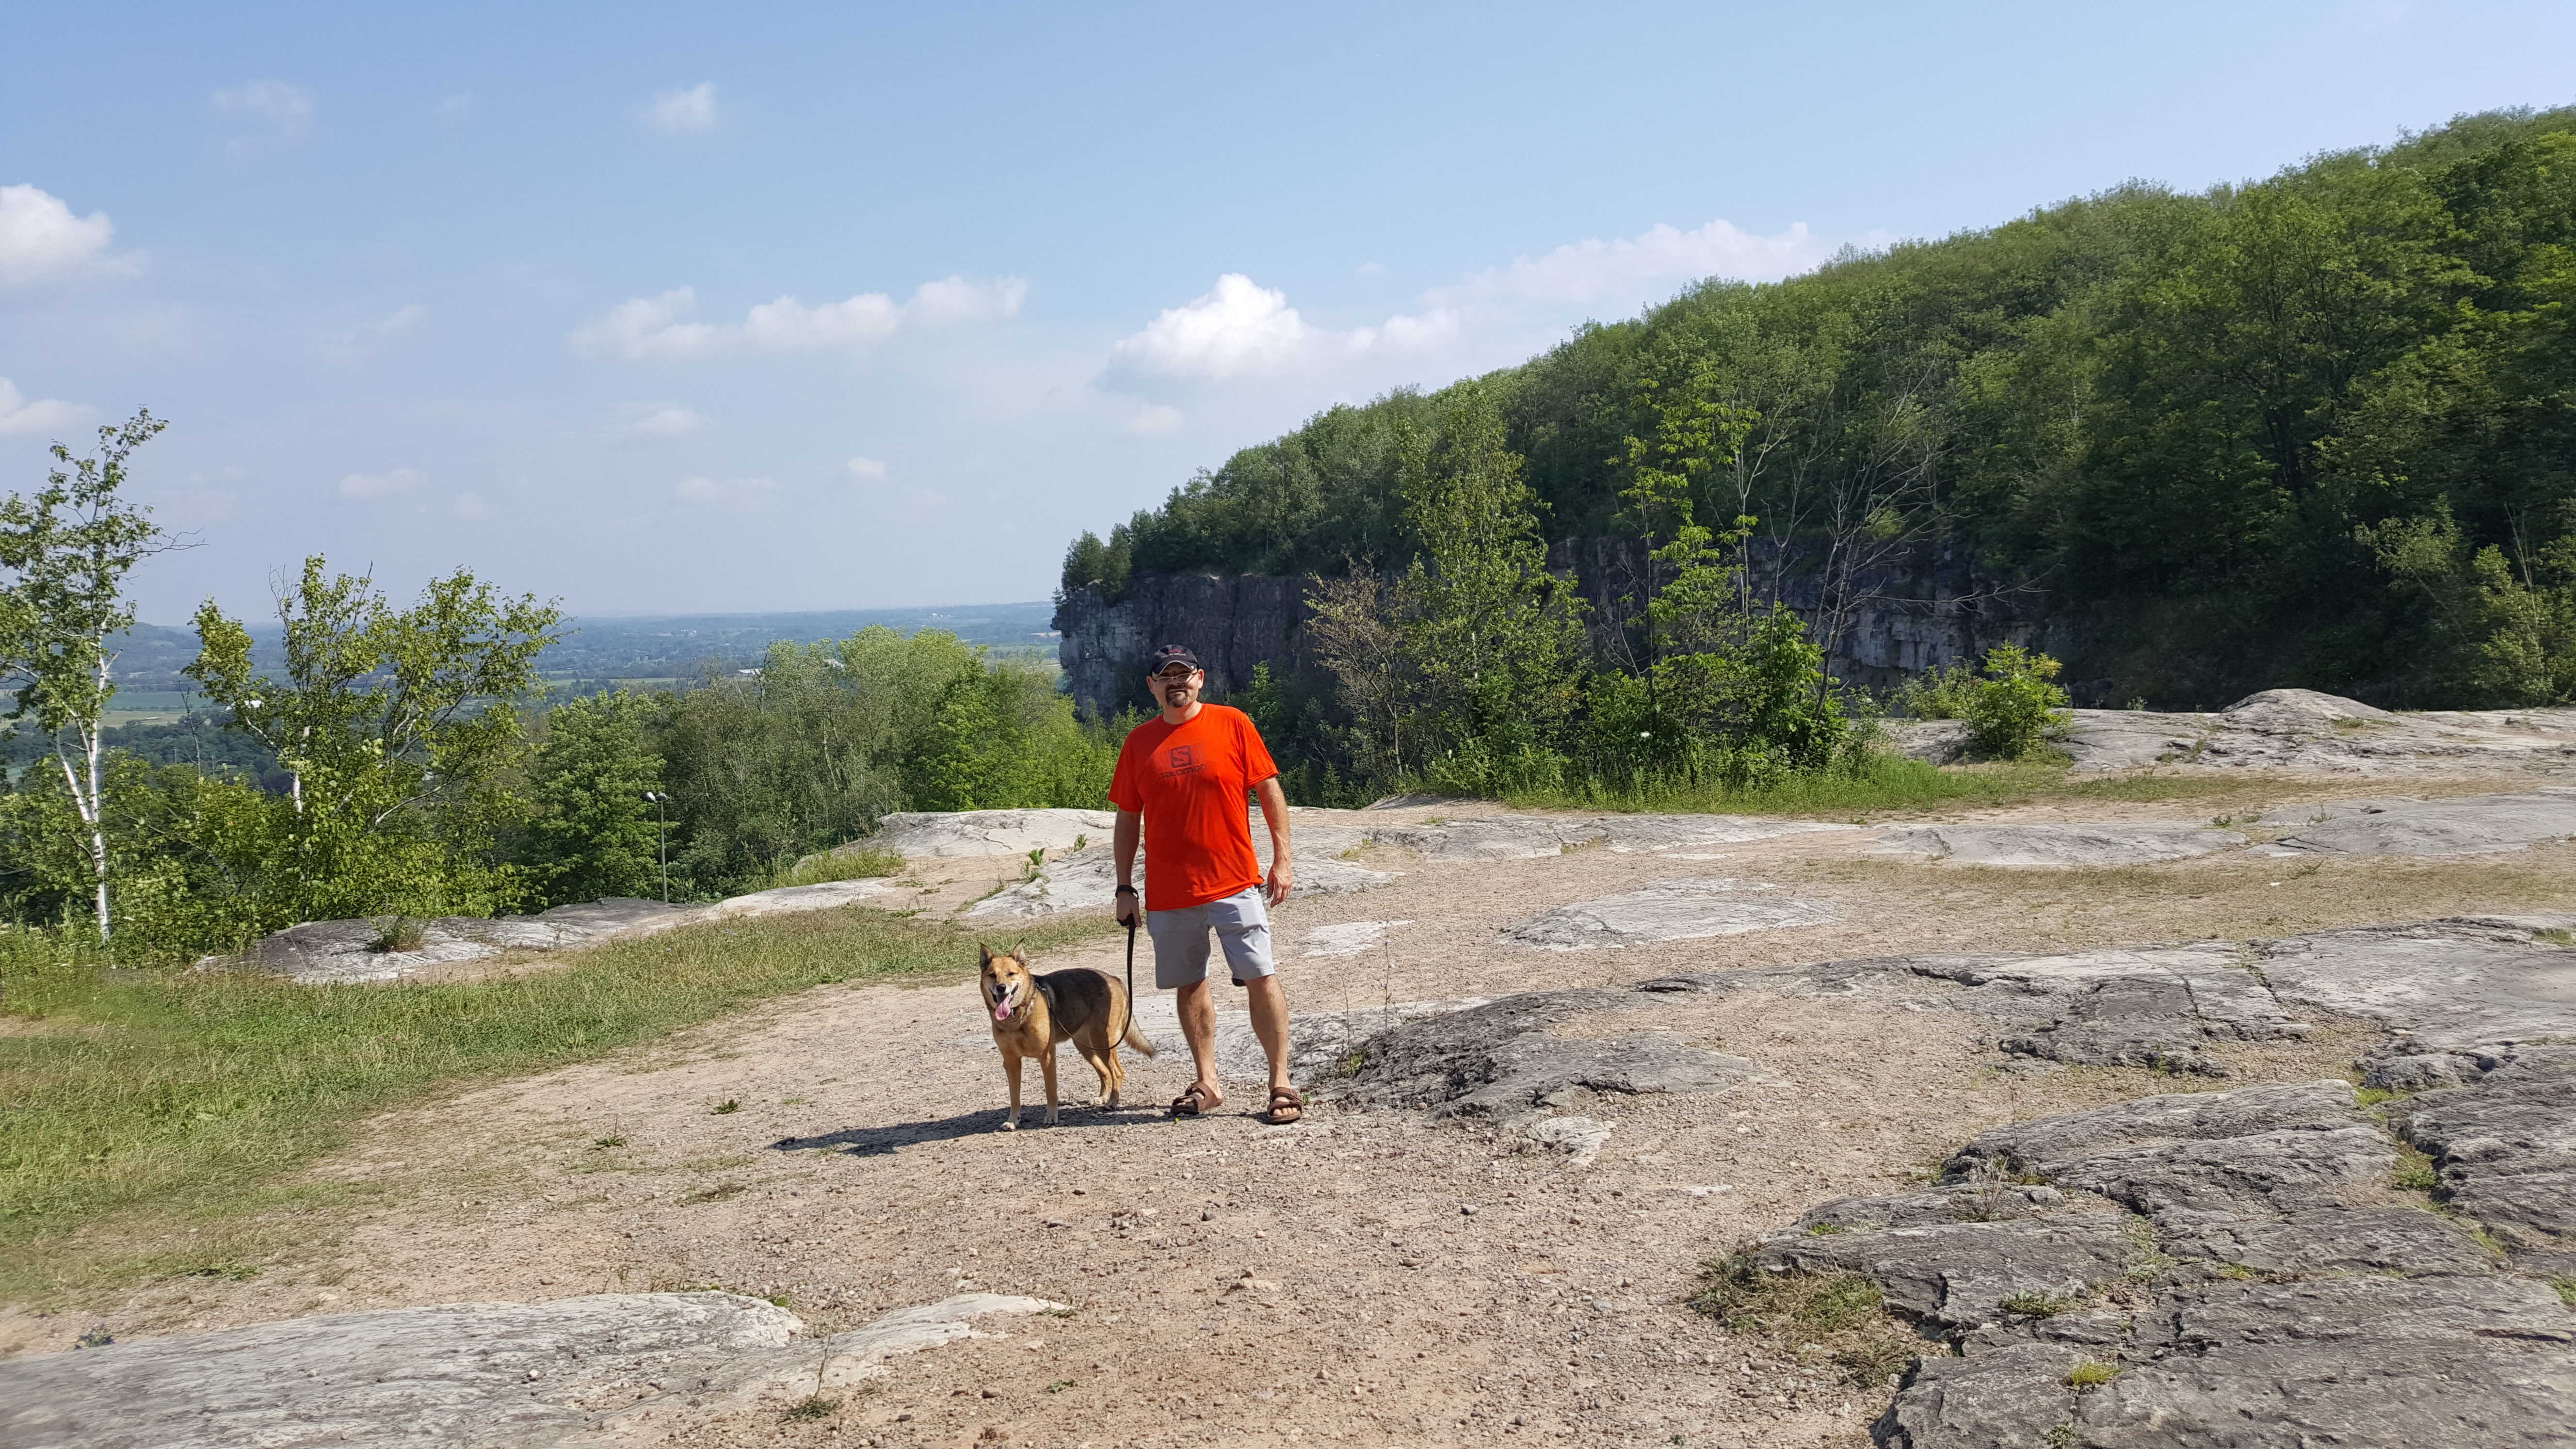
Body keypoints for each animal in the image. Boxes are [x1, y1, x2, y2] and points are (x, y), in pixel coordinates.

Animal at [979, 943, 1154, 1124]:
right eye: (992, 975)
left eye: (1011, 974)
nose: (1001, 988)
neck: (1017, 1018)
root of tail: (1114, 979)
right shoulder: (1011, 1062)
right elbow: (1015, 1097)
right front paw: (1013, 1120)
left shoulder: (1047, 1057)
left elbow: (1051, 1091)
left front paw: (1051, 1116)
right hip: (1086, 1046)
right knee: (1105, 1073)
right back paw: (1103, 1098)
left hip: (1102, 1042)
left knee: (1118, 1072)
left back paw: (1112, 1101)